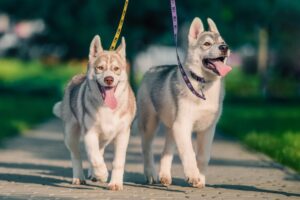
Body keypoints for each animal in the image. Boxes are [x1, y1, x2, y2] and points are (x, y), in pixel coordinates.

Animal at [53, 35, 136, 190]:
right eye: (100, 68)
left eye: (116, 69)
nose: (109, 79)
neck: (106, 108)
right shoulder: (89, 133)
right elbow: (94, 157)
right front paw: (102, 174)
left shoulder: (123, 134)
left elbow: (117, 161)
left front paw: (115, 183)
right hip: (70, 134)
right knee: (77, 155)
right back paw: (80, 177)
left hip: (104, 137)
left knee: (100, 150)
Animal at [137, 18, 231, 188]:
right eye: (207, 43)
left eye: (223, 42)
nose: (224, 48)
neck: (203, 84)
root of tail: (150, 69)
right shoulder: (183, 125)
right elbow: (189, 153)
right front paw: (193, 175)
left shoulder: (208, 128)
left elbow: (203, 156)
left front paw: (201, 178)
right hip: (150, 124)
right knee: (147, 148)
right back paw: (151, 174)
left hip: (172, 128)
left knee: (166, 151)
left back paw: (165, 176)